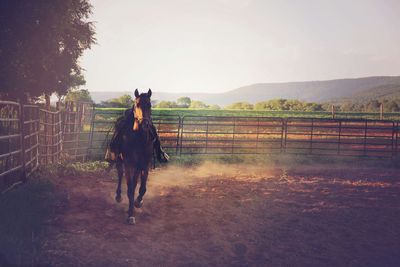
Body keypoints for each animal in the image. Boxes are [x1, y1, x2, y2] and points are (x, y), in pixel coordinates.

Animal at [114, 89, 155, 225]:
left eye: (150, 105)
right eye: (137, 104)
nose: (145, 124)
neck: (139, 139)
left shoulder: (144, 163)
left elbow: (141, 186)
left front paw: (138, 202)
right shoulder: (129, 164)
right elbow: (130, 188)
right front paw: (131, 214)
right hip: (119, 160)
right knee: (120, 174)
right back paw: (118, 196)